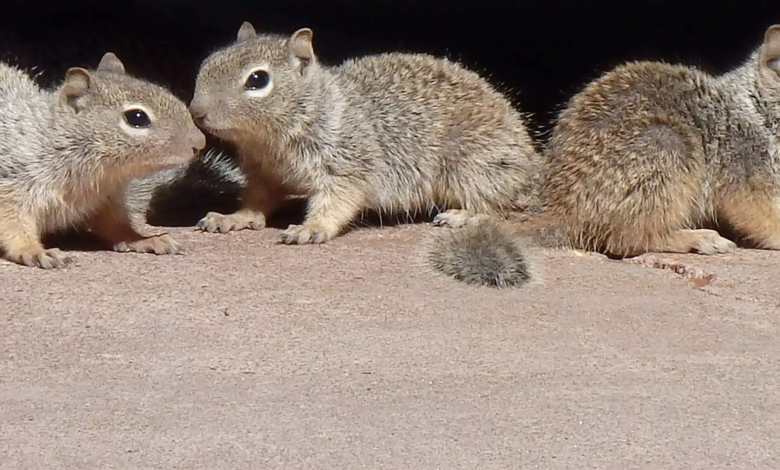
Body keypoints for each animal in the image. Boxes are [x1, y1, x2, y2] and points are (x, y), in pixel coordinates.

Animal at [0, 51, 206, 268]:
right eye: (137, 117)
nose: (200, 143)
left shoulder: (105, 200)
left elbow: (116, 224)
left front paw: (144, 239)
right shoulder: (12, 184)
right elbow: (14, 225)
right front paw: (34, 251)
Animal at [426, 24, 780, 286]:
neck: (757, 109)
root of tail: (564, 213)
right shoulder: (748, 166)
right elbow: (756, 212)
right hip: (665, 151)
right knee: (628, 239)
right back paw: (700, 238)